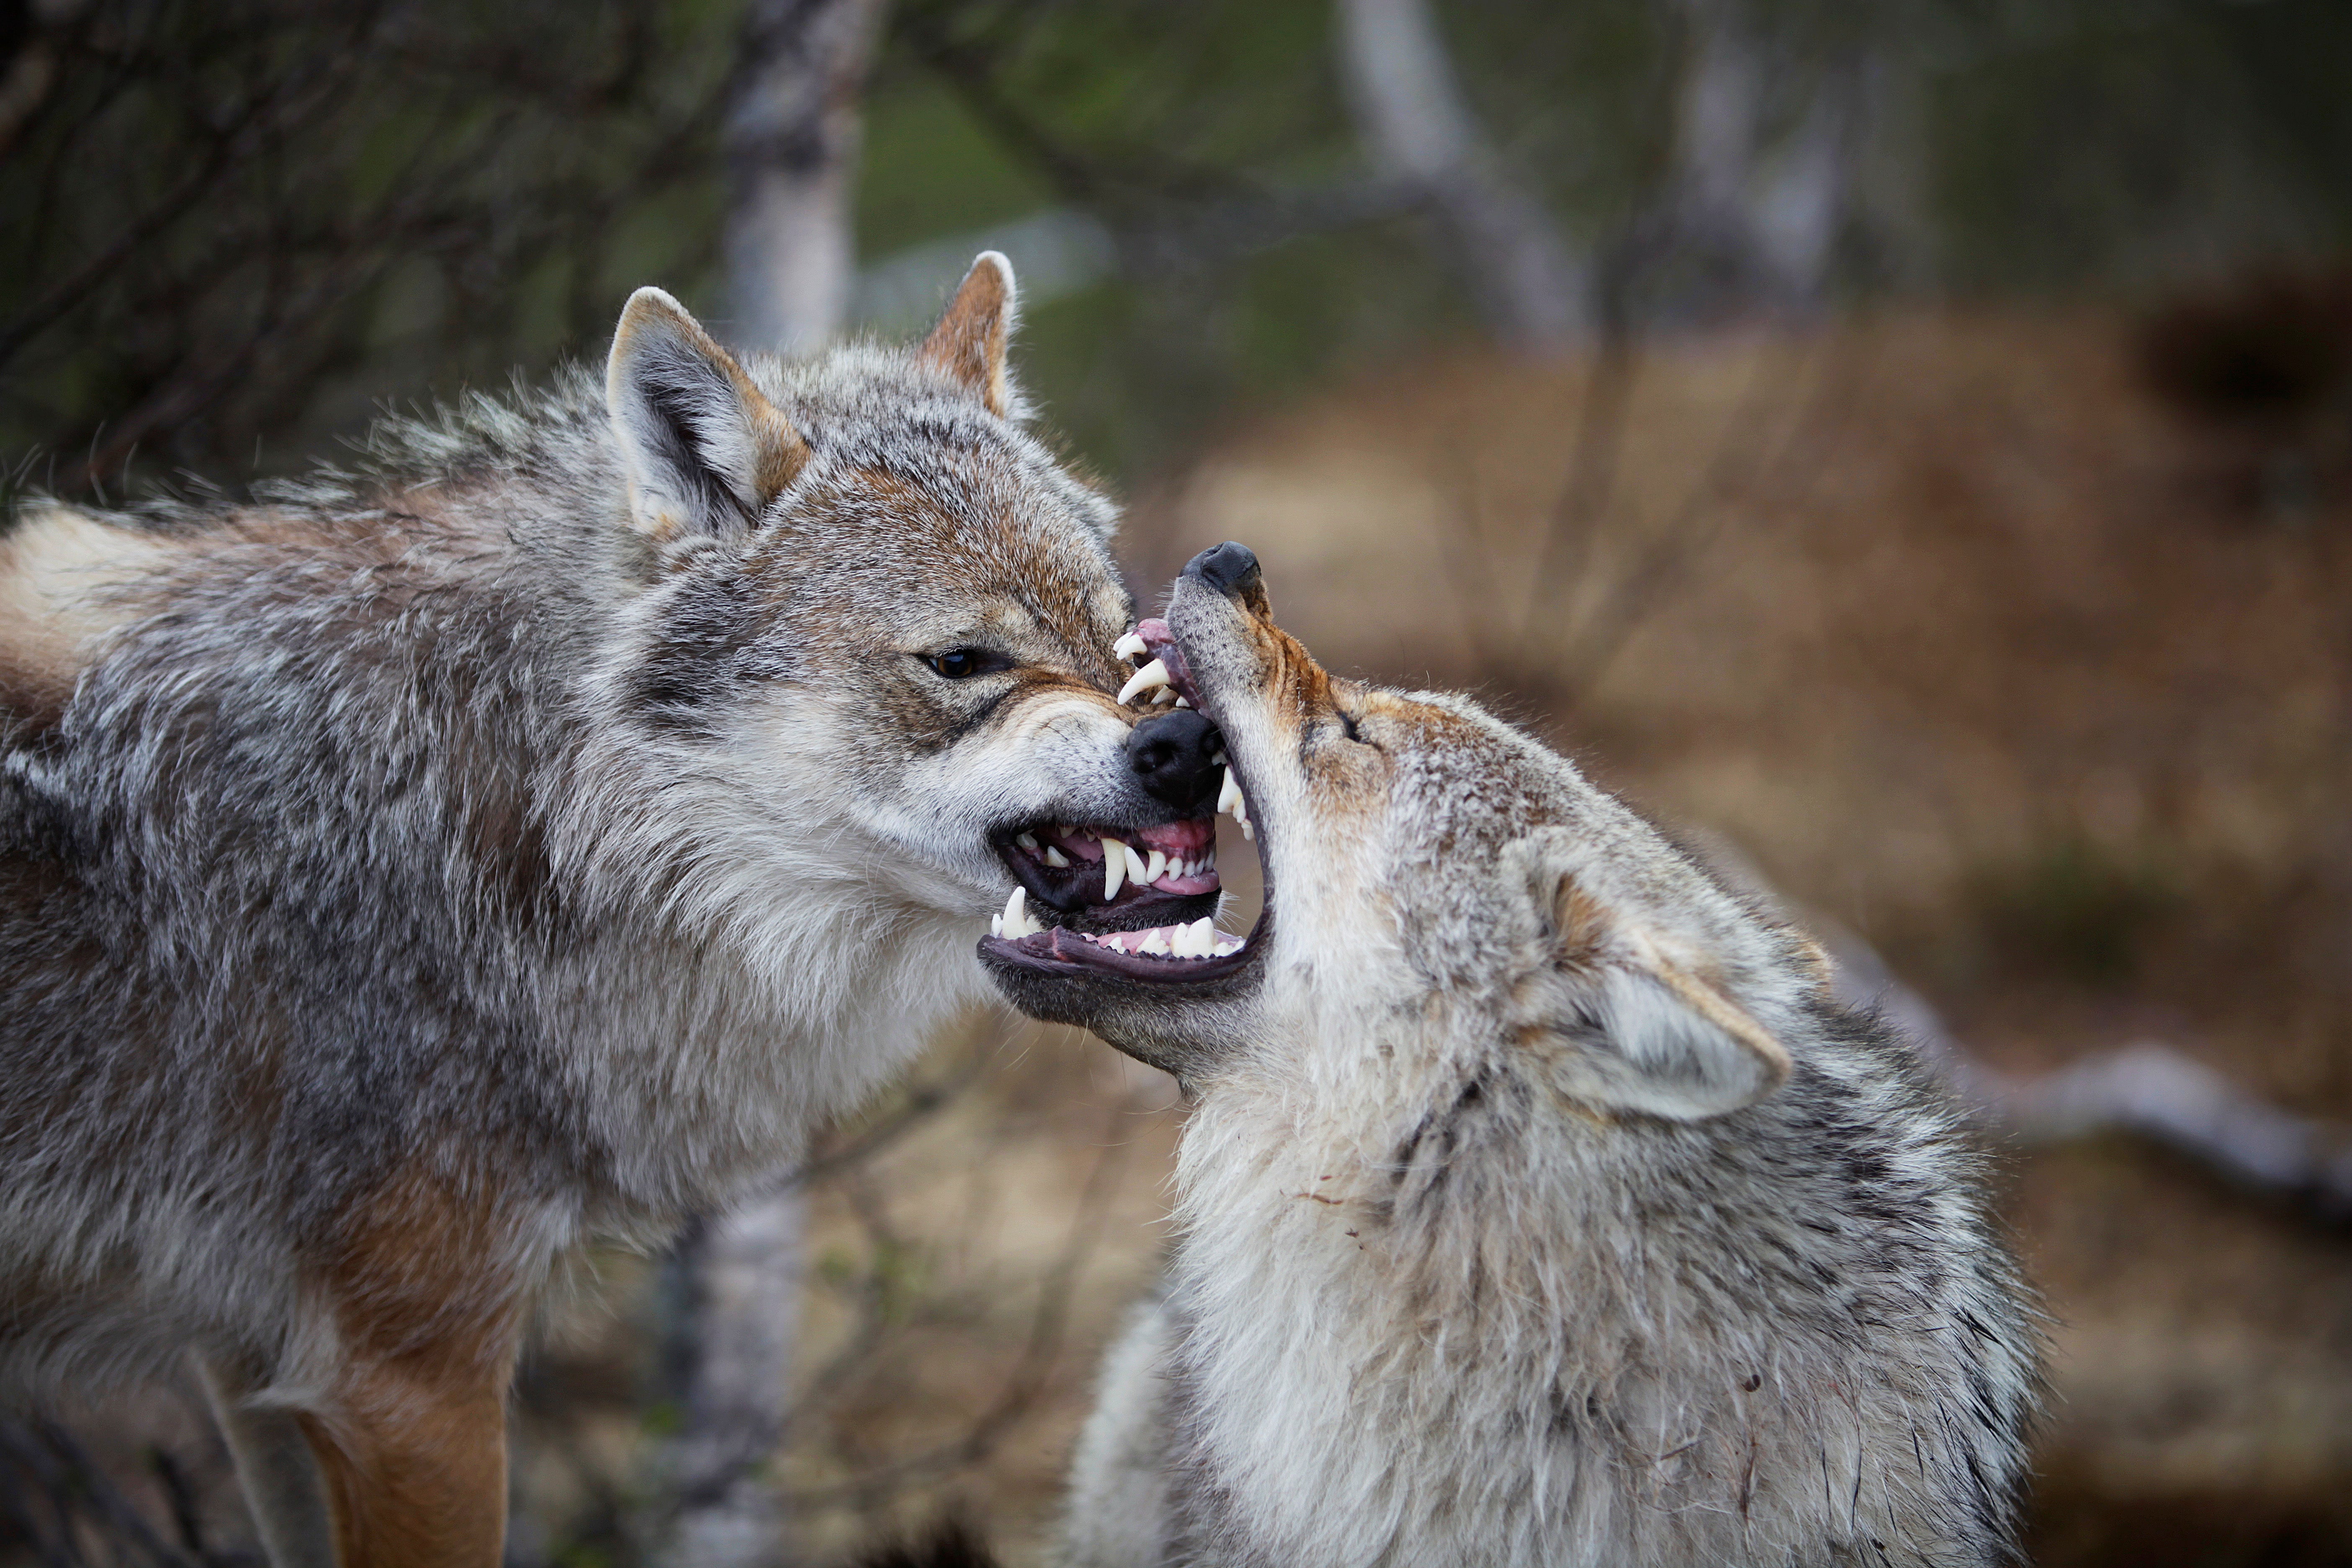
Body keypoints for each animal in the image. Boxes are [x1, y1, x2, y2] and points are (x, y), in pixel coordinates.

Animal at [0, 257, 1223, 1568]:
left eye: (1119, 636)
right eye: (962, 662)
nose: (1189, 745)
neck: (518, 810)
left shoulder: (256, 1360)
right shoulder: (406, 1375)